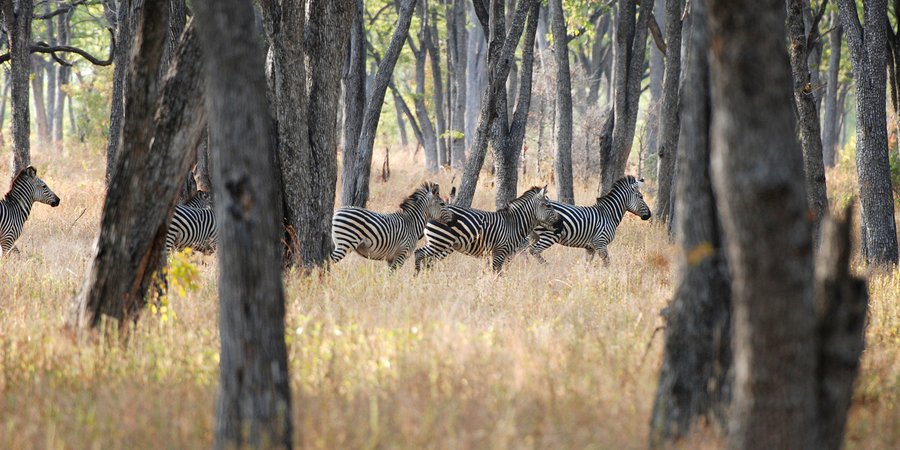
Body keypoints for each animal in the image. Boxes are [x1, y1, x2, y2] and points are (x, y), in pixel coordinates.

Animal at [414, 185, 559, 273]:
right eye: (548, 206)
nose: (560, 223)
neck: (514, 224)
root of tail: (429, 214)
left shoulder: (507, 254)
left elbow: (503, 272)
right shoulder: (500, 251)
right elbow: (497, 273)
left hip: (439, 244)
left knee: (428, 261)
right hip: (440, 242)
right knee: (419, 254)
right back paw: (418, 277)